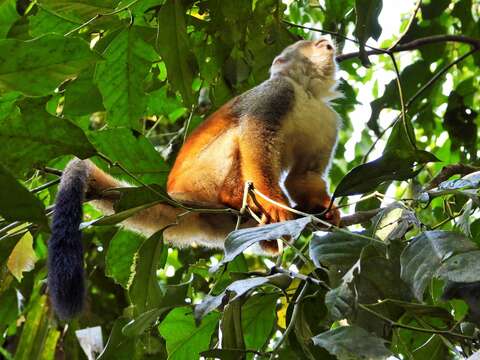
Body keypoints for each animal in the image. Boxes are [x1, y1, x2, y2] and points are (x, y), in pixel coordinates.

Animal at [48, 38, 342, 318]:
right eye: (314, 45)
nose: (327, 43)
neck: (307, 92)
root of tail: (178, 195)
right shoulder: (277, 91)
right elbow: (256, 136)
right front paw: (274, 204)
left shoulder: (329, 119)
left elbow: (303, 174)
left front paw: (323, 208)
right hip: (201, 179)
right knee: (237, 133)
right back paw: (234, 197)